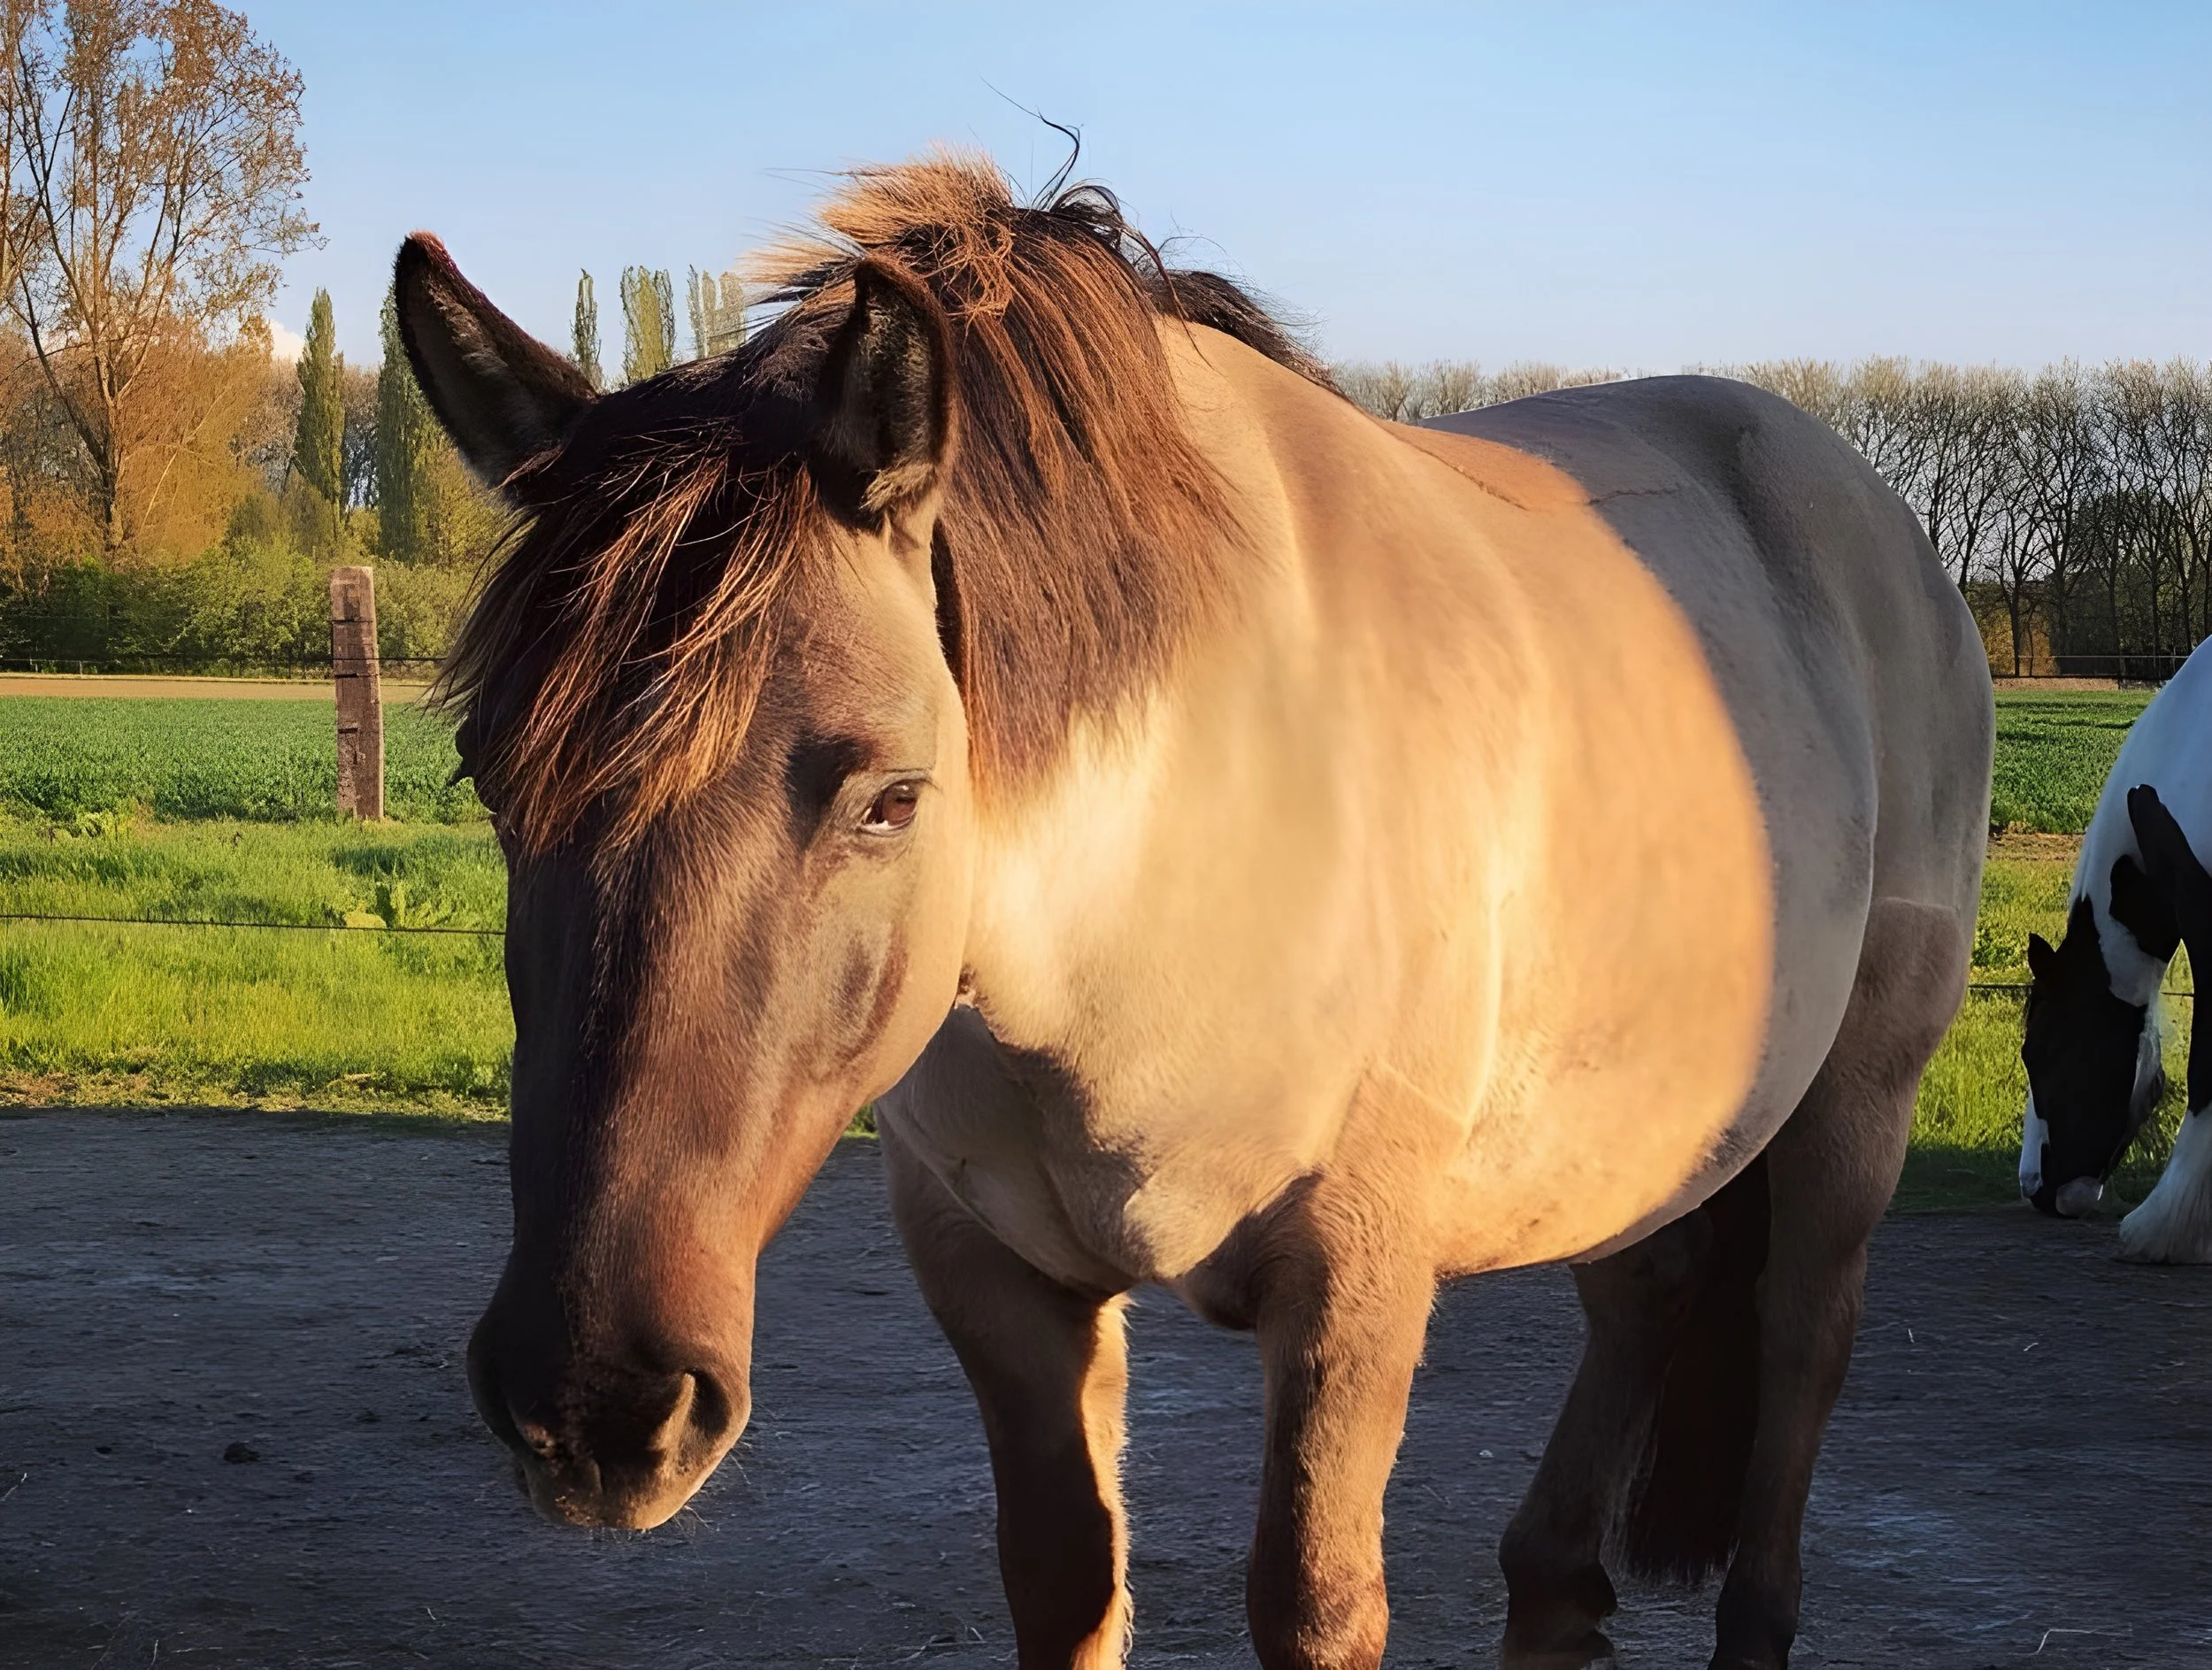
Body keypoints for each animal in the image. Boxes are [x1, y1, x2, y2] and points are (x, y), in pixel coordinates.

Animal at [394, 155, 1990, 1670]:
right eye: (487, 777)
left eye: (892, 798)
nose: (598, 1405)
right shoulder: (999, 1277)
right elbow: (1065, 1581)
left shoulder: (1351, 1283)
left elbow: (1315, 1603)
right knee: (1648, 1283)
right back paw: (1551, 1590)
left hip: (1855, 1101)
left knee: (1802, 1340)